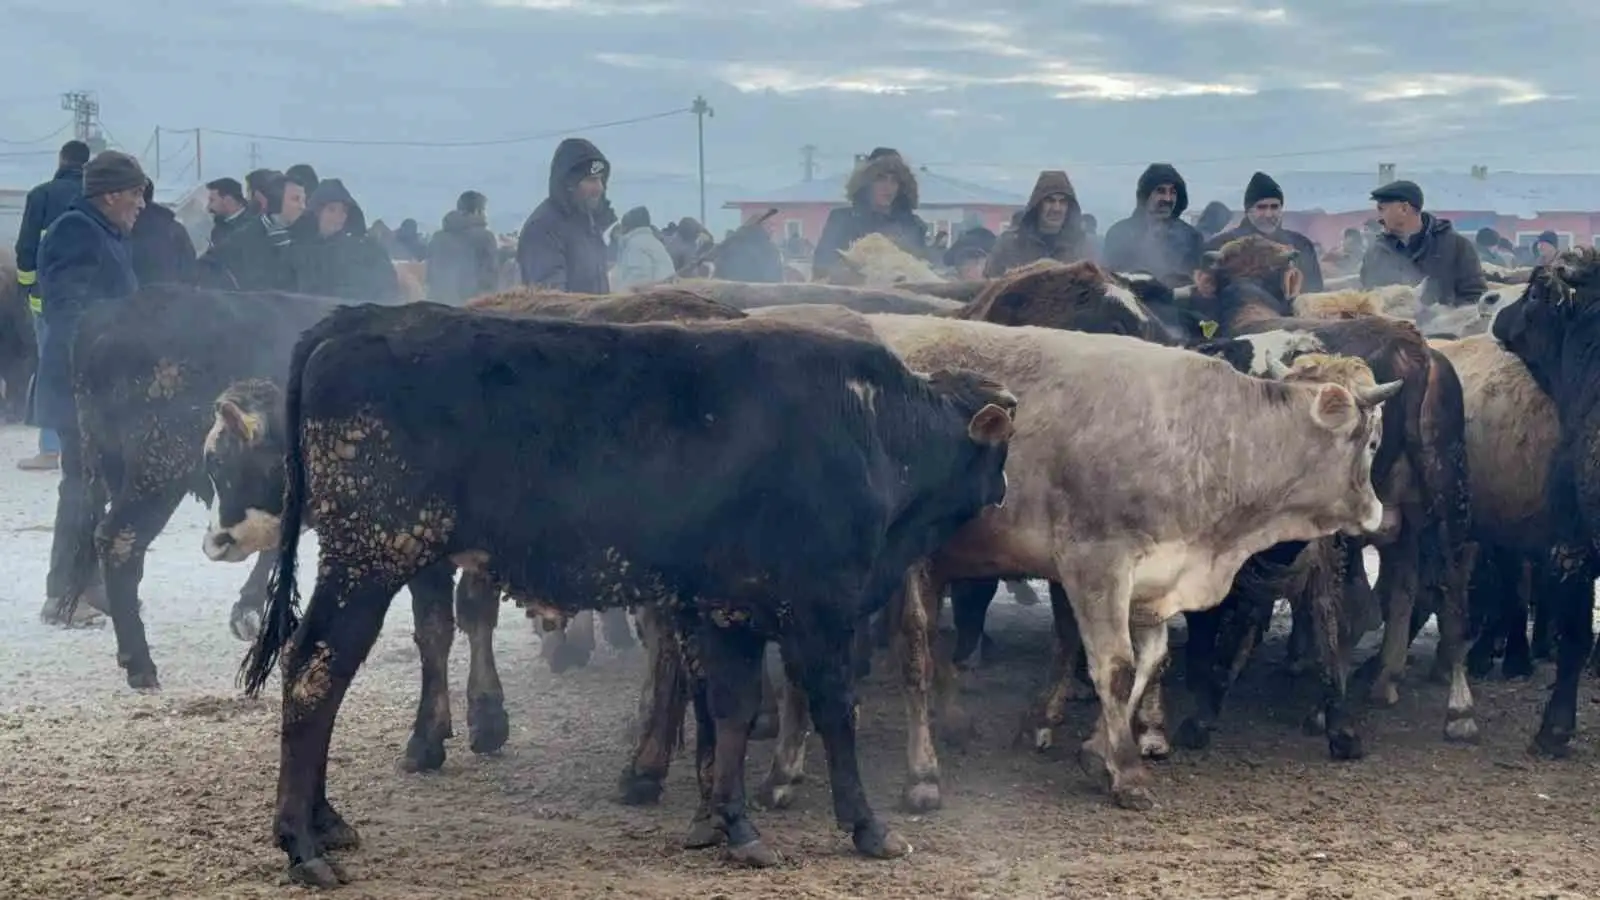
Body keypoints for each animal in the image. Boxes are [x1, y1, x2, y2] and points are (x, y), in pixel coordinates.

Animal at [236, 301, 1011, 883]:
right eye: (1001, 447)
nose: (1005, 490)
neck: (869, 427)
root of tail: (361, 318)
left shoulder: (722, 607)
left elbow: (728, 712)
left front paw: (725, 823)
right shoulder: (819, 608)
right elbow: (832, 712)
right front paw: (868, 827)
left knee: (319, 676)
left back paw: (325, 823)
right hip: (371, 556)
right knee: (314, 675)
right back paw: (301, 843)